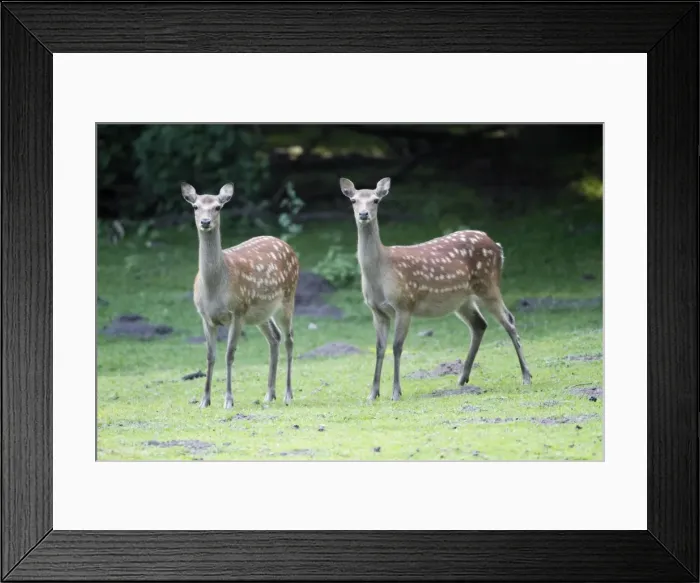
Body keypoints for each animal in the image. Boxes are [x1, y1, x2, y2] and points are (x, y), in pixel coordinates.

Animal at [181, 181, 300, 409]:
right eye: (195, 206)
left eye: (218, 207)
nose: (205, 222)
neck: (215, 289)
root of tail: (288, 246)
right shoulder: (205, 316)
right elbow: (210, 356)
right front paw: (204, 400)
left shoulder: (237, 311)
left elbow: (229, 354)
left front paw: (228, 400)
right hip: (261, 313)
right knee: (275, 338)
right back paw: (269, 394)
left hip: (288, 297)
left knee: (289, 339)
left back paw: (288, 395)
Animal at [339, 176, 532, 402]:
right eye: (353, 200)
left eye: (376, 200)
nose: (363, 214)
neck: (381, 272)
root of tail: (498, 246)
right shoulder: (377, 310)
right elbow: (379, 348)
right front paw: (373, 394)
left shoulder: (405, 304)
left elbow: (396, 347)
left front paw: (396, 392)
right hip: (463, 299)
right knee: (480, 324)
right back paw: (461, 379)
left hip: (488, 285)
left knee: (509, 321)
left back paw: (526, 376)